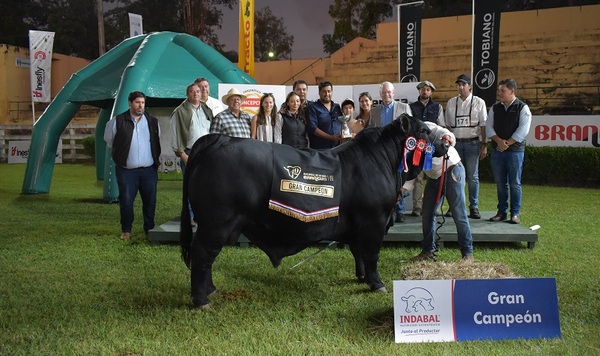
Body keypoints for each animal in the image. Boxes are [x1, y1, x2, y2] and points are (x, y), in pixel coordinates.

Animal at [180, 114, 448, 308]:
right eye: (423, 131)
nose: (446, 143)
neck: (382, 161)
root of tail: (218, 140)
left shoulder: (358, 225)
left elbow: (358, 254)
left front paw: (361, 277)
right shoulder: (375, 221)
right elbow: (371, 255)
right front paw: (377, 284)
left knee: (206, 258)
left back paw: (211, 290)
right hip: (216, 223)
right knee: (202, 255)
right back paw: (202, 300)